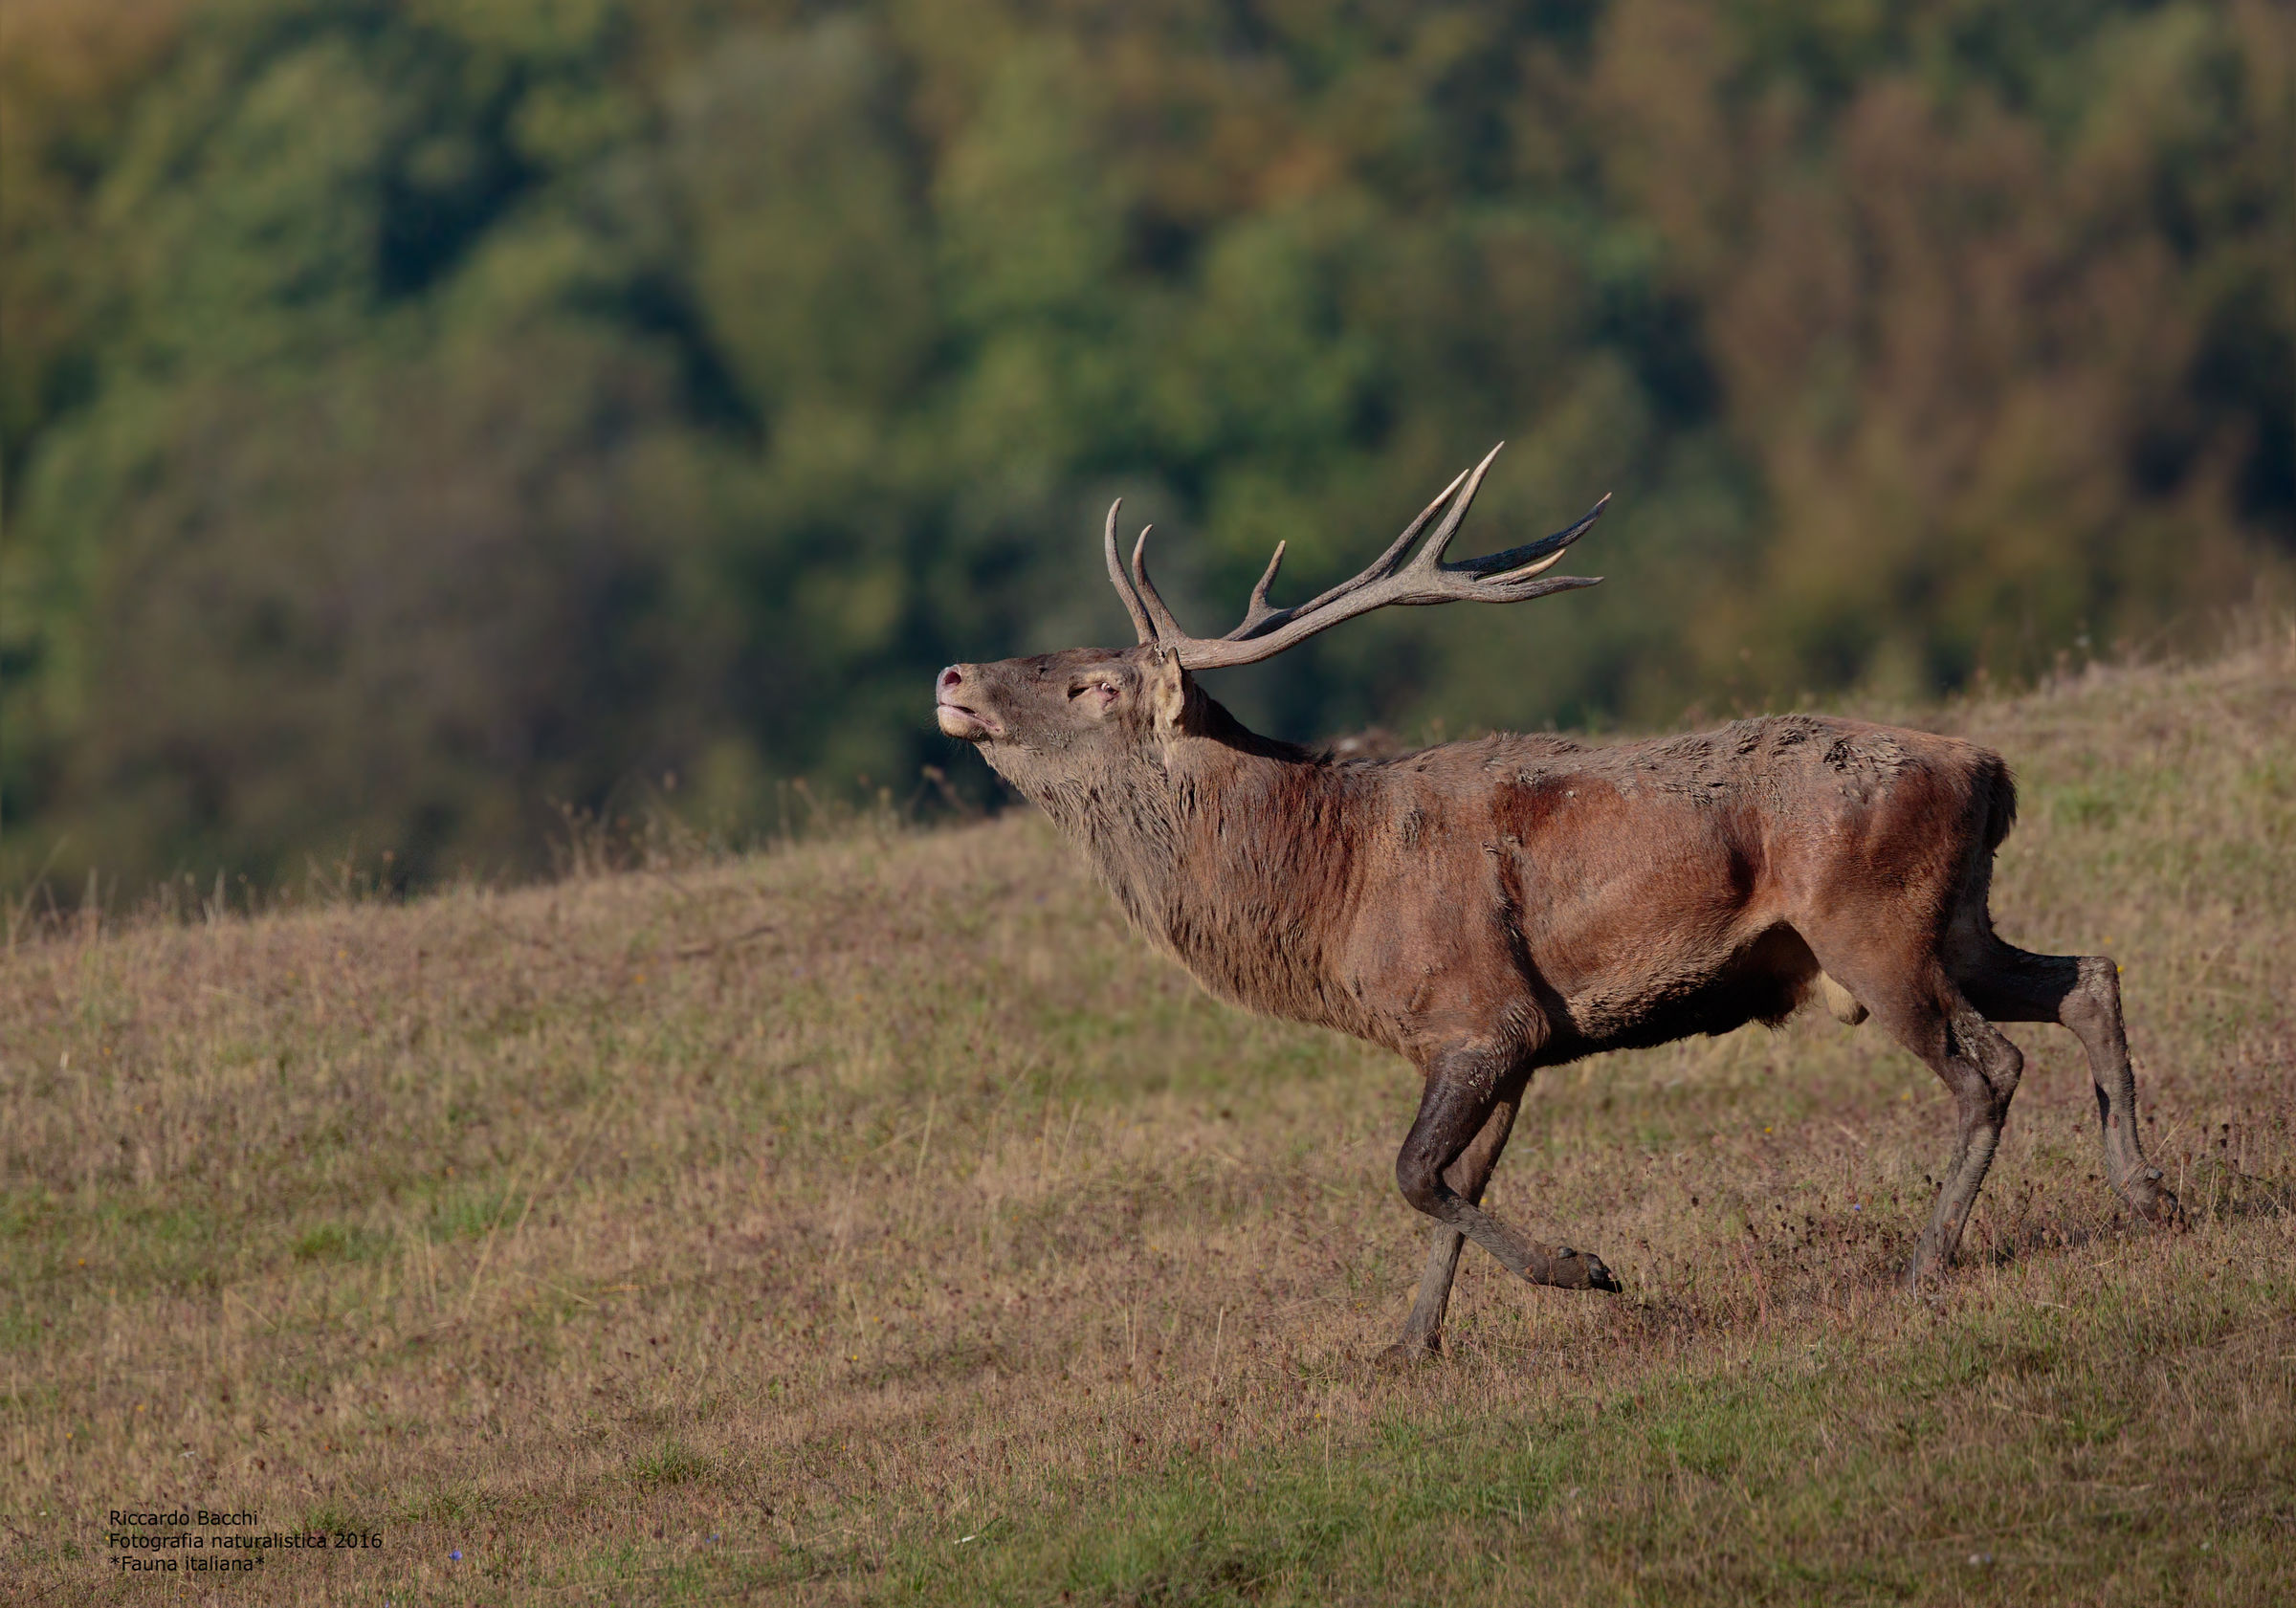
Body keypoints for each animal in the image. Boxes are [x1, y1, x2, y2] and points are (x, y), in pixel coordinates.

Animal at [933, 447, 2180, 1361]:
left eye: (1092, 683)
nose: (951, 675)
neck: (1329, 891)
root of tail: (1987, 767)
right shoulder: (1512, 1039)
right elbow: (1456, 1178)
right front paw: (1410, 1344)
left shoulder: (1484, 1016)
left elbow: (1411, 1172)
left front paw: (1585, 1269)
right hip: (1955, 921)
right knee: (2088, 976)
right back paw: (2147, 1190)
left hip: (1873, 928)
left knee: (1988, 1066)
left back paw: (1930, 1263)